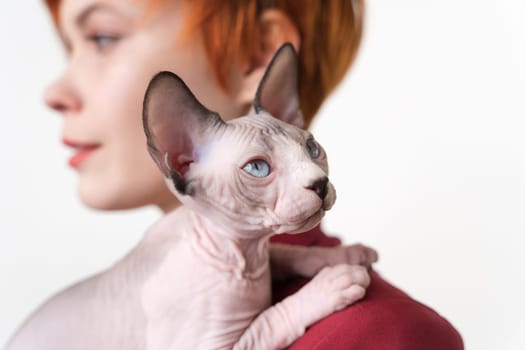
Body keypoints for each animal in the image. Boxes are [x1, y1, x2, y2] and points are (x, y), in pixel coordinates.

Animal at [8, 44, 376, 350]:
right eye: (258, 168)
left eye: (312, 148)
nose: (321, 183)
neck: (244, 259)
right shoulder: (210, 345)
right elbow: (271, 318)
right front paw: (334, 282)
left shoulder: (259, 250)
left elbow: (286, 252)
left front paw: (343, 255)